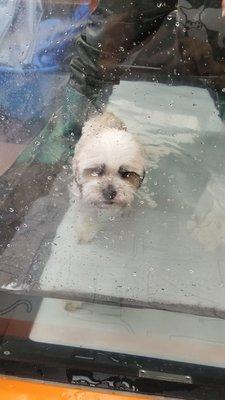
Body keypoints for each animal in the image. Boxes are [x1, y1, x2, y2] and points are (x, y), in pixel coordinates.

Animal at [71, 112, 146, 244]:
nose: (109, 193)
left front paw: (125, 209)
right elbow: (87, 211)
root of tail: (107, 114)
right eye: (96, 171)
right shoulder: (81, 195)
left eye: (125, 173)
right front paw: (86, 230)